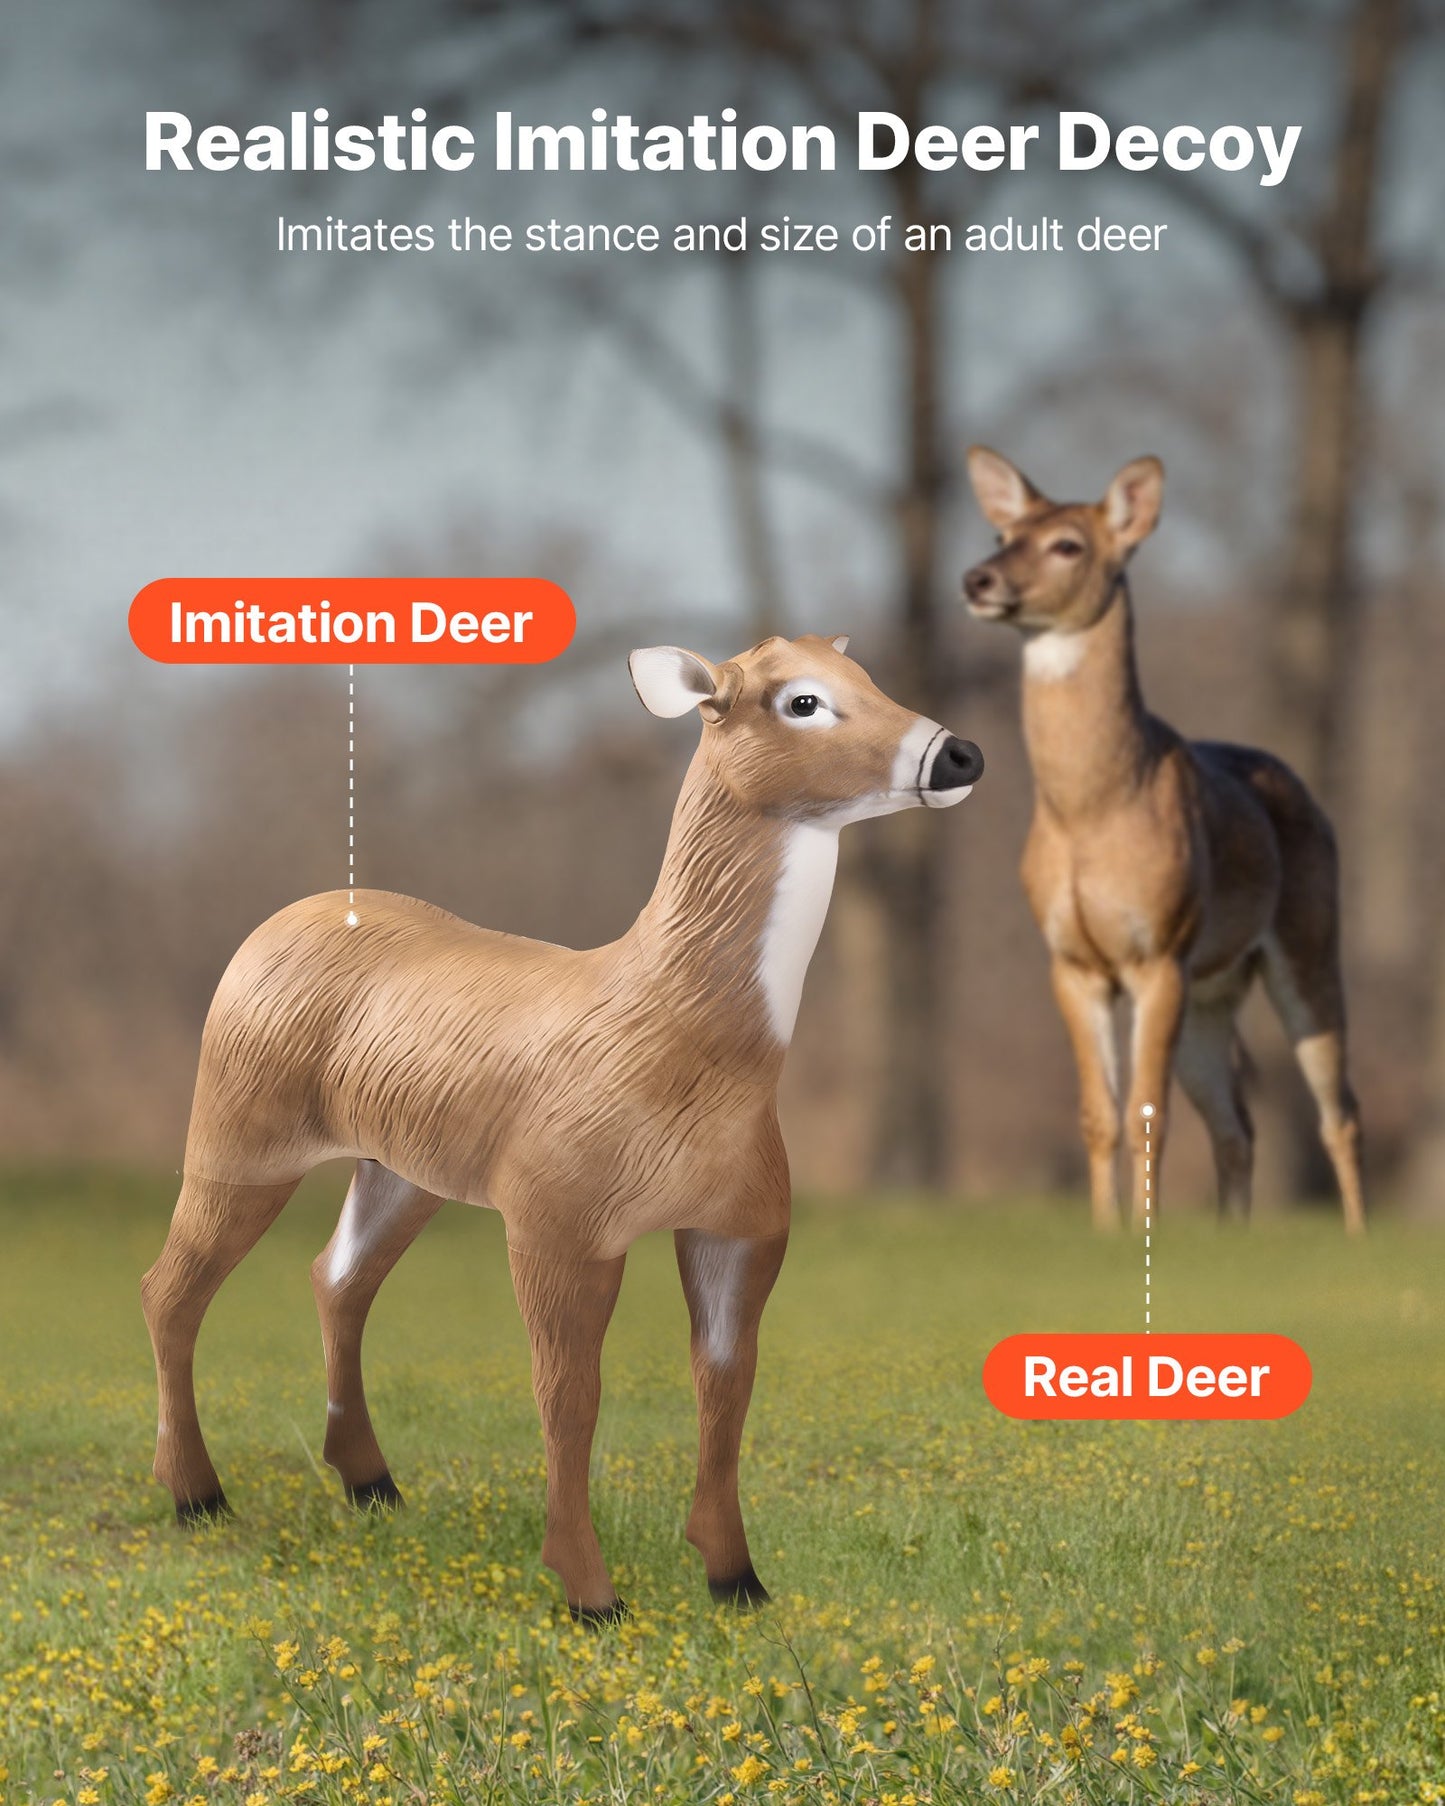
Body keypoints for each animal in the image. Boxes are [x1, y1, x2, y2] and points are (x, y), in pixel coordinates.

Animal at [140, 633, 983, 1622]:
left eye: (870, 676)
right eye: (801, 701)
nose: (957, 754)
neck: (677, 1044)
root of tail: (274, 924)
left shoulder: (743, 1224)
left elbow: (726, 1385)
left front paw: (735, 1578)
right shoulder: (558, 1217)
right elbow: (568, 1397)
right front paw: (590, 1594)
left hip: (402, 1167)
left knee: (335, 1277)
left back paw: (369, 1482)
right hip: (239, 1121)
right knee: (169, 1287)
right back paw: (196, 1494)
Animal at [961, 447, 1364, 1236]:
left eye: (1068, 545)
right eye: (1001, 536)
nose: (977, 579)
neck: (1091, 813)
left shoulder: (1160, 950)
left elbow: (1147, 1114)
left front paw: (1138, 1240)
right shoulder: (1071, 960)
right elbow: (1098, 1114)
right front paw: (1104, 1232)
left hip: (1307, 941)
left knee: (1337, 1109)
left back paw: (1359, 1240)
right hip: (1214, 989)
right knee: (1237, 1122)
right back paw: (1232, 1234)